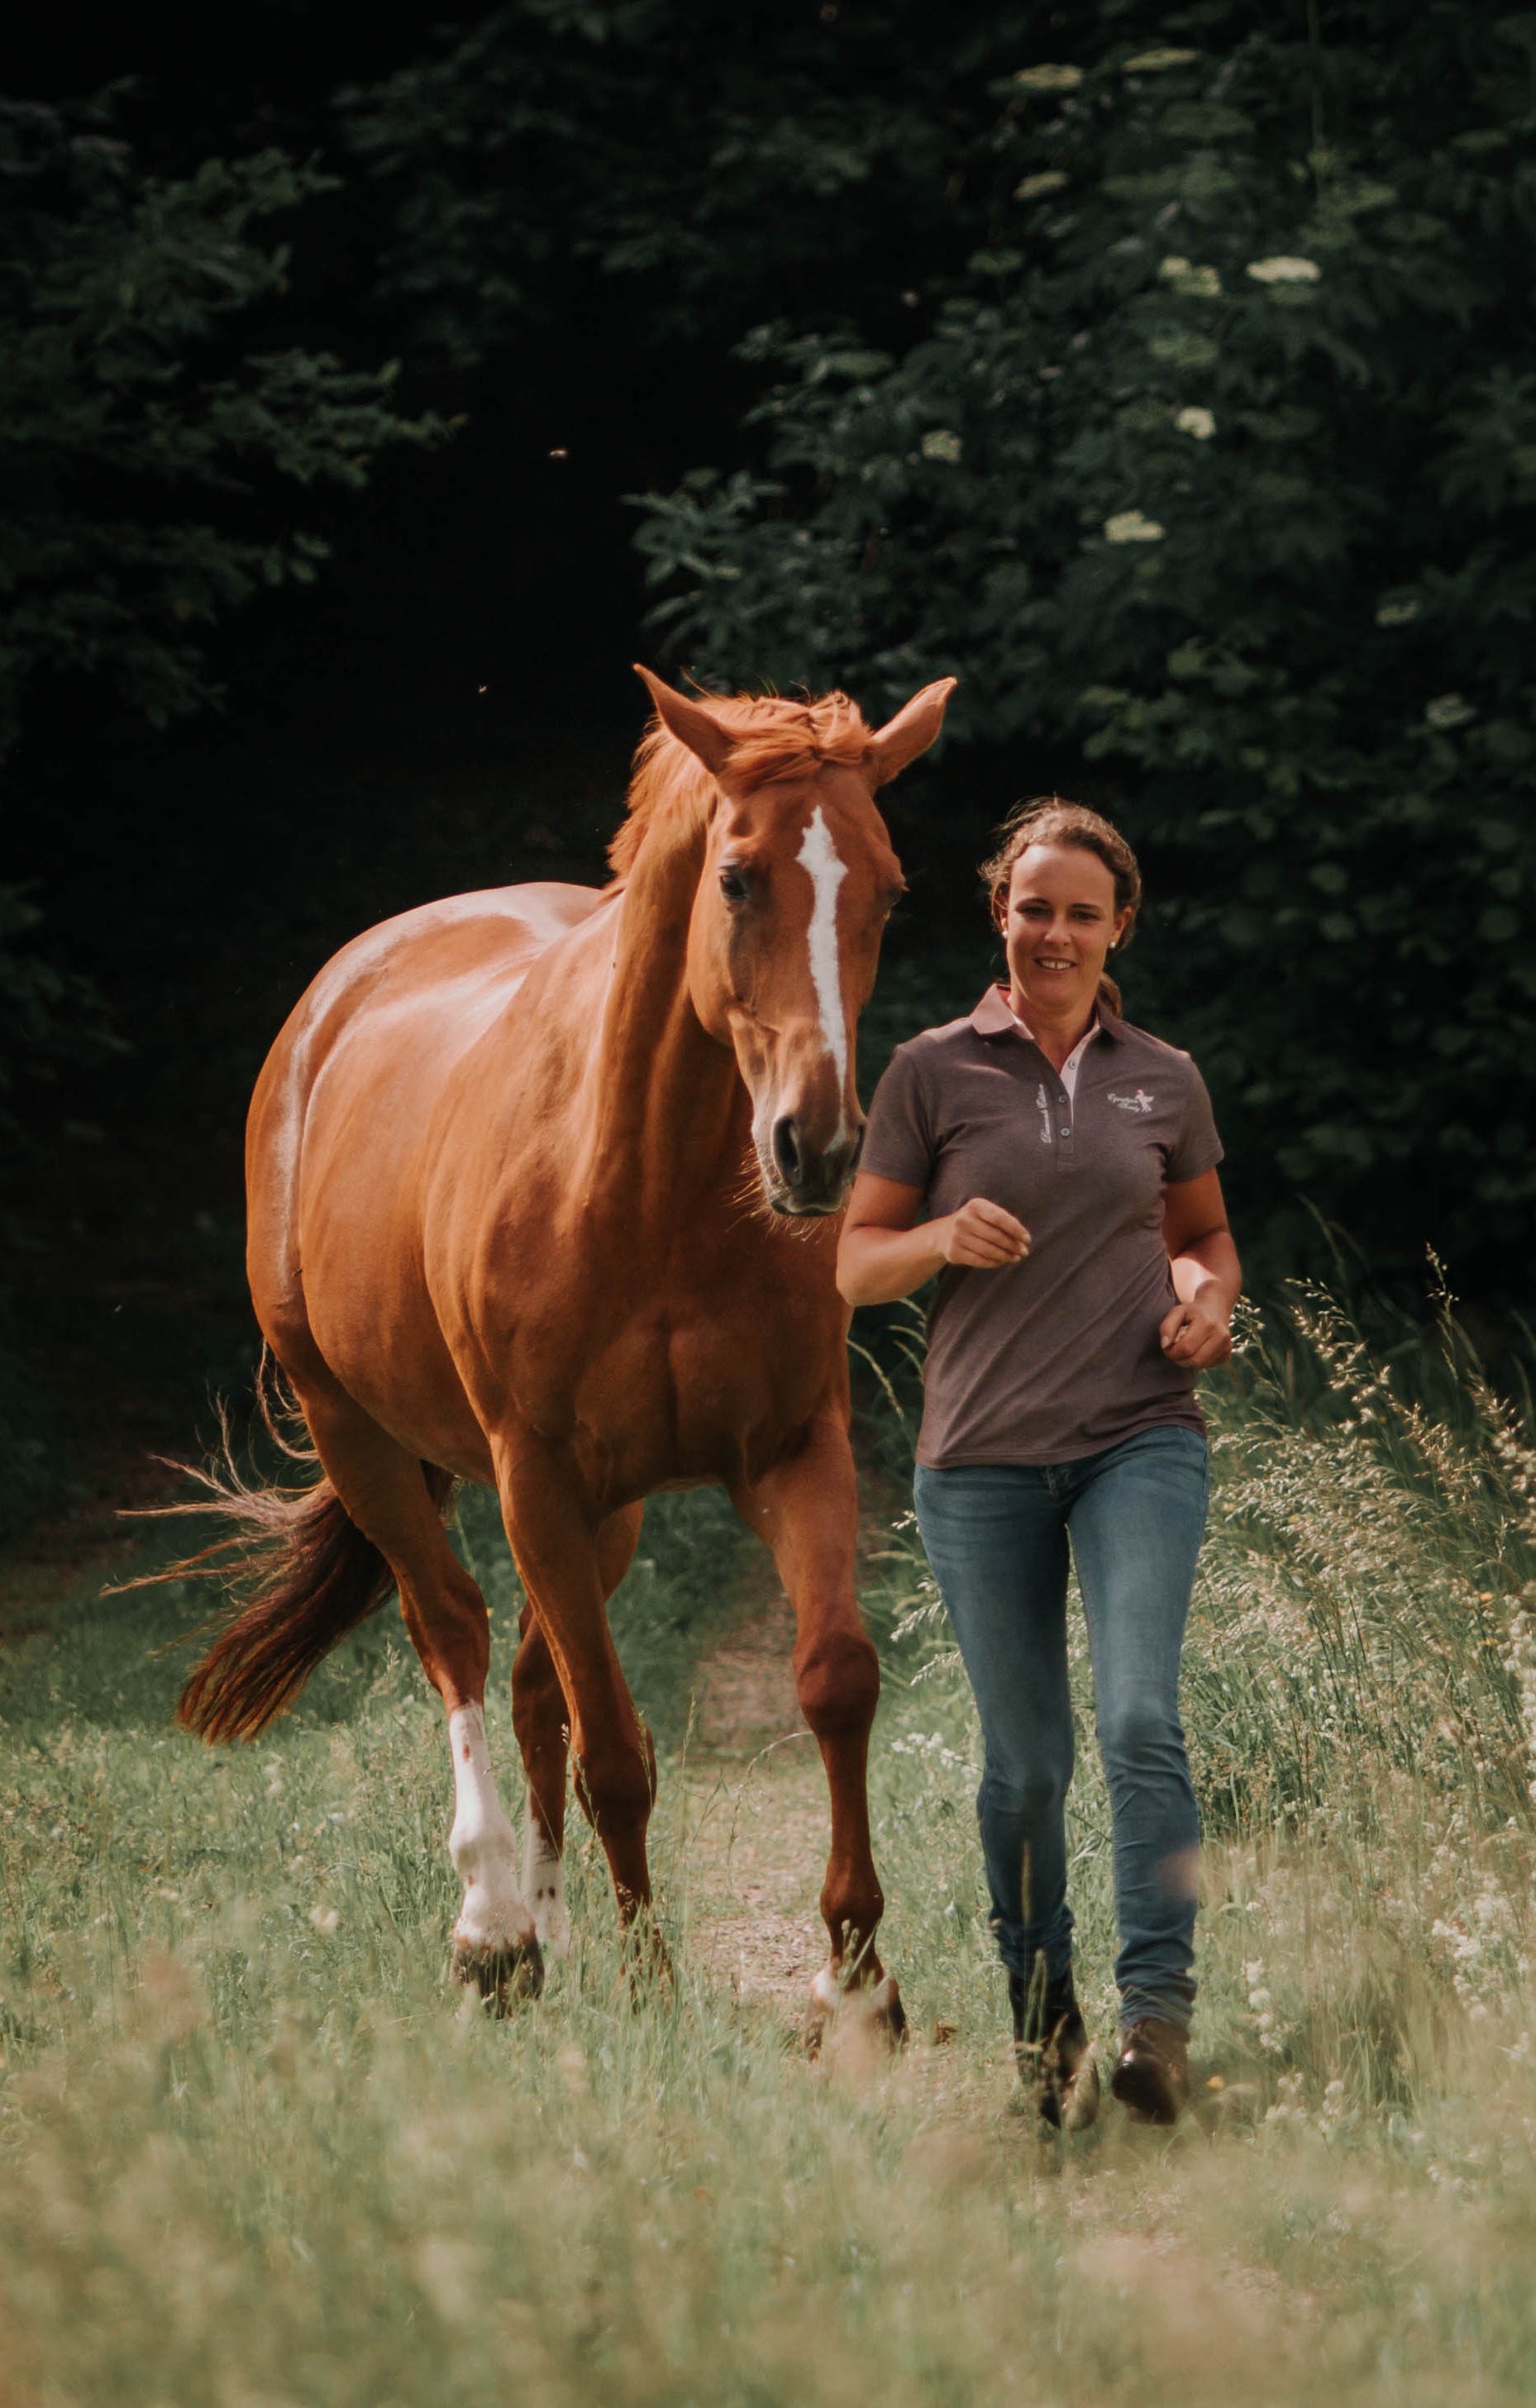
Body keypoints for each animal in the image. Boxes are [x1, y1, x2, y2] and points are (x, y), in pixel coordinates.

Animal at [174, 664, 958, 2032]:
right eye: (737, 877)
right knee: (457, 1635)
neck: (649, 1191)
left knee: (535, 1682)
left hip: (608, 1508)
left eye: (886, 885)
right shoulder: (533, 1472)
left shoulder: (792, 1452)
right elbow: (613, 1749)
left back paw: (546, 1931)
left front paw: (860, 1984)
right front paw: (650, 1981)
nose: (816, 1148)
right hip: (362, 1434)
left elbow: (834, 1680)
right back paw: (492, 1930)